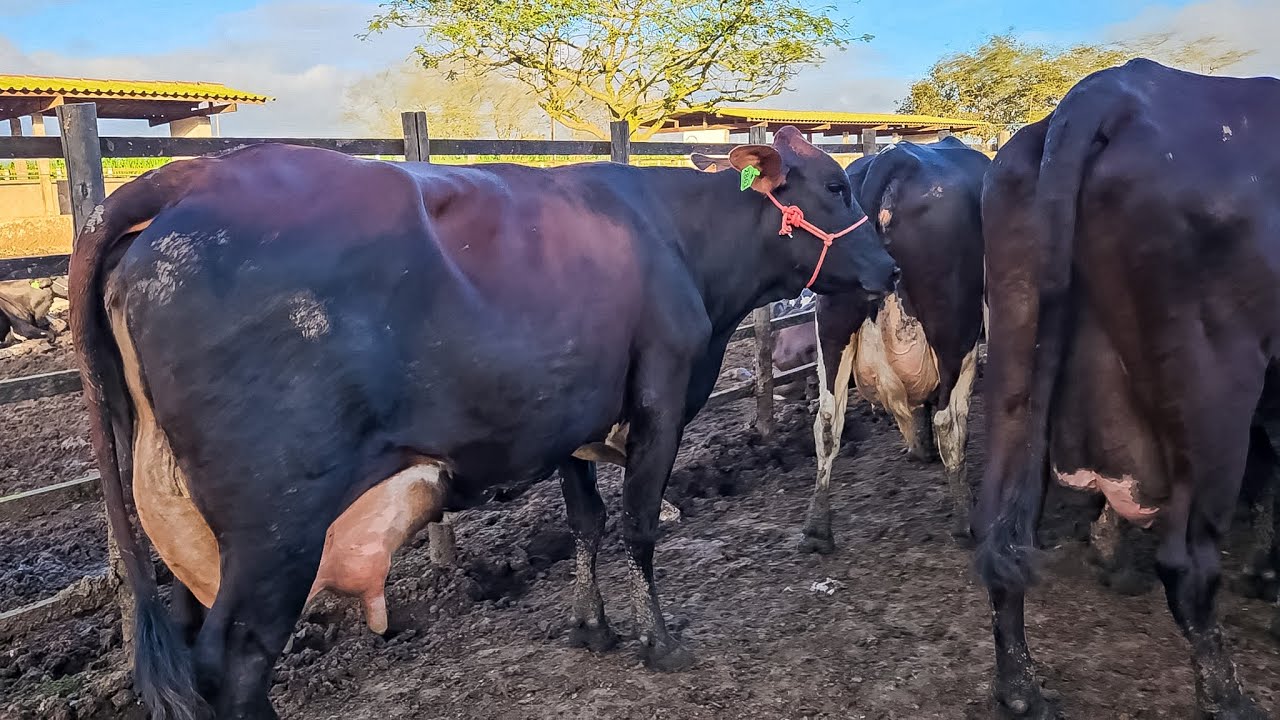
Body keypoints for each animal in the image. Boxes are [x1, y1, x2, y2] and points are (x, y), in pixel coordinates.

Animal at [71, 128, 898, 719]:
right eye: (834, 183)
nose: (888, 268)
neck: (678, 239)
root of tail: (190, 176)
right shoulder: (662, 397)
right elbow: (638, 524)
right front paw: (659, 642)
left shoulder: (570, 413)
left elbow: (587, 522)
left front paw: (590, 627)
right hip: (275, 526)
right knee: (234, 663)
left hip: (184, 524)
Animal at [974, 59, 1280, 718]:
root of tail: (1111, 88)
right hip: (1215, 390)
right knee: (1188, 566)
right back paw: (1229, 698)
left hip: (1015, 359)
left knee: (998, 536)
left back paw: (1021, 690)